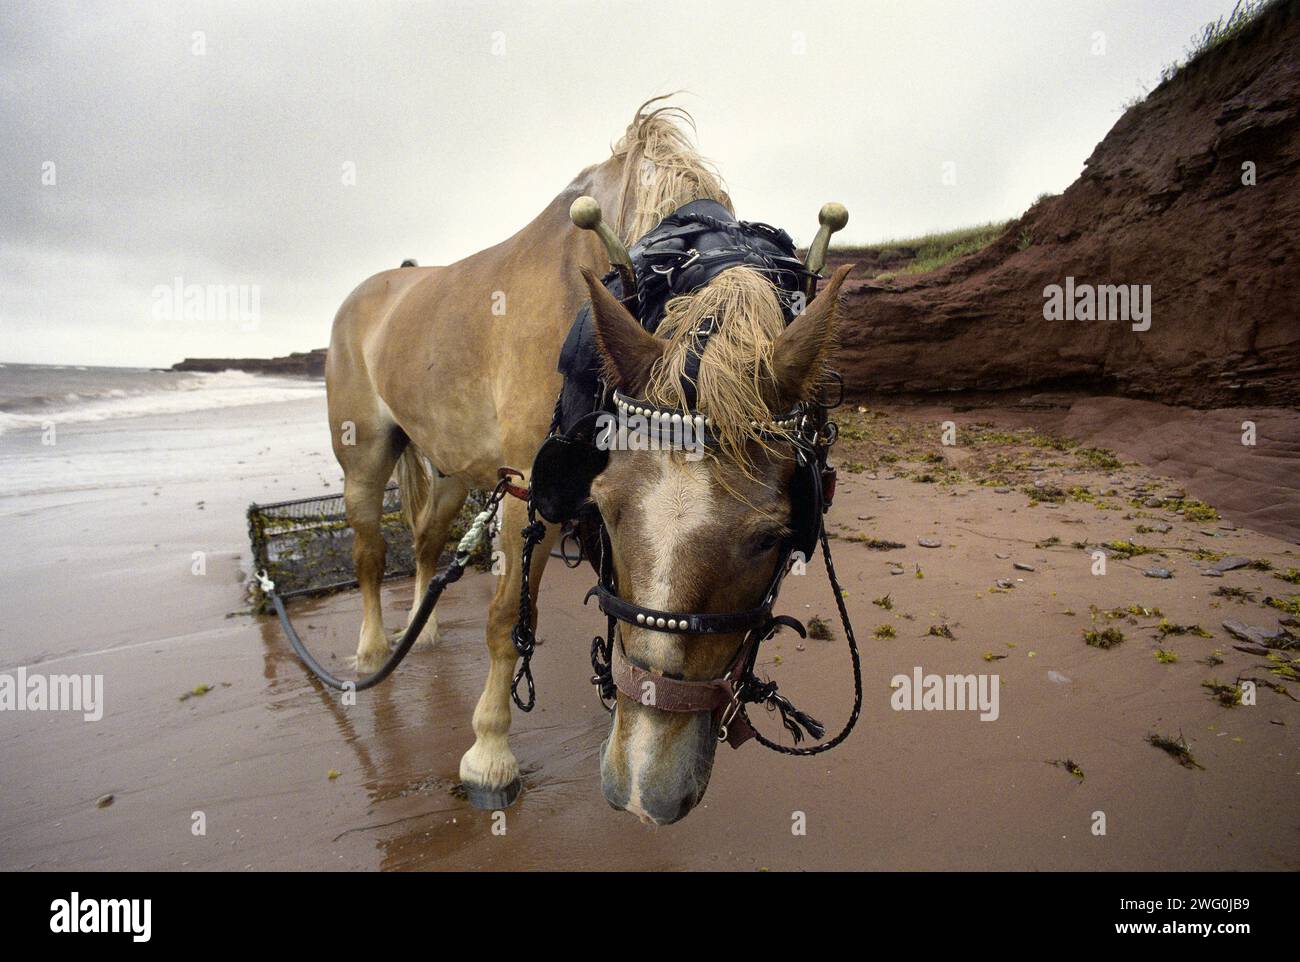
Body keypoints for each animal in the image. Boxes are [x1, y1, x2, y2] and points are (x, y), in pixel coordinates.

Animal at [325, 99, 852, 826]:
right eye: (603, 510)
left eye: (774, 535)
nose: (643, 792)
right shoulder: (529, 488)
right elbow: (505, 621)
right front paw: (489, 754)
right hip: (363, 455)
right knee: (372, 550)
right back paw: (376, 650)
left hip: (455, 465)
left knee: (428, 538)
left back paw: (421, 632)